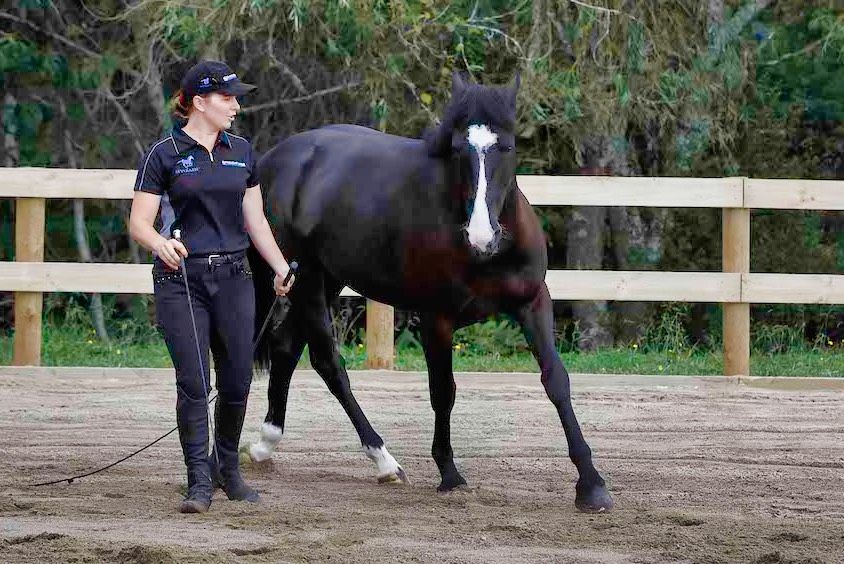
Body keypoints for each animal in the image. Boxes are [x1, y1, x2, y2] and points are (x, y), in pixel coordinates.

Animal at [244, 72, 612, 512]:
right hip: (306, 283)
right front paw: (450, 473)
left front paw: (591, 484)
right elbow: (443, 391)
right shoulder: (437, 319)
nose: (481, 237)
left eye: (506, 146)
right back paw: (383, 460)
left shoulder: (533, 302)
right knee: (329, 363)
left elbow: (556, 379)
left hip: (320, 279)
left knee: (286, 348)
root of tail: (273, 162)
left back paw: (265, 444)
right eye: (457, 150)